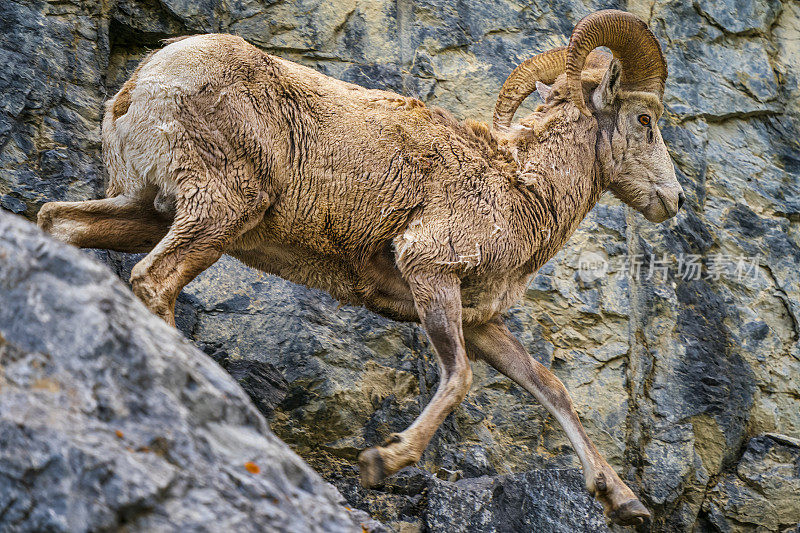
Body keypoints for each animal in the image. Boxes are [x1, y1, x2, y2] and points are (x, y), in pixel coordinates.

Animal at [39, 10, 680, 524]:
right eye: (645, 121)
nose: (672, 201)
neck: (521, 186)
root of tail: (144, 83)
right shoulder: (430, 272)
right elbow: (459, 378)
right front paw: (381, 460)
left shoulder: (480, 321)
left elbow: (550, 388)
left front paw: (624, 502)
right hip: (216, 211)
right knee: (155, 280)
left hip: (145, 208)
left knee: (59, 224)